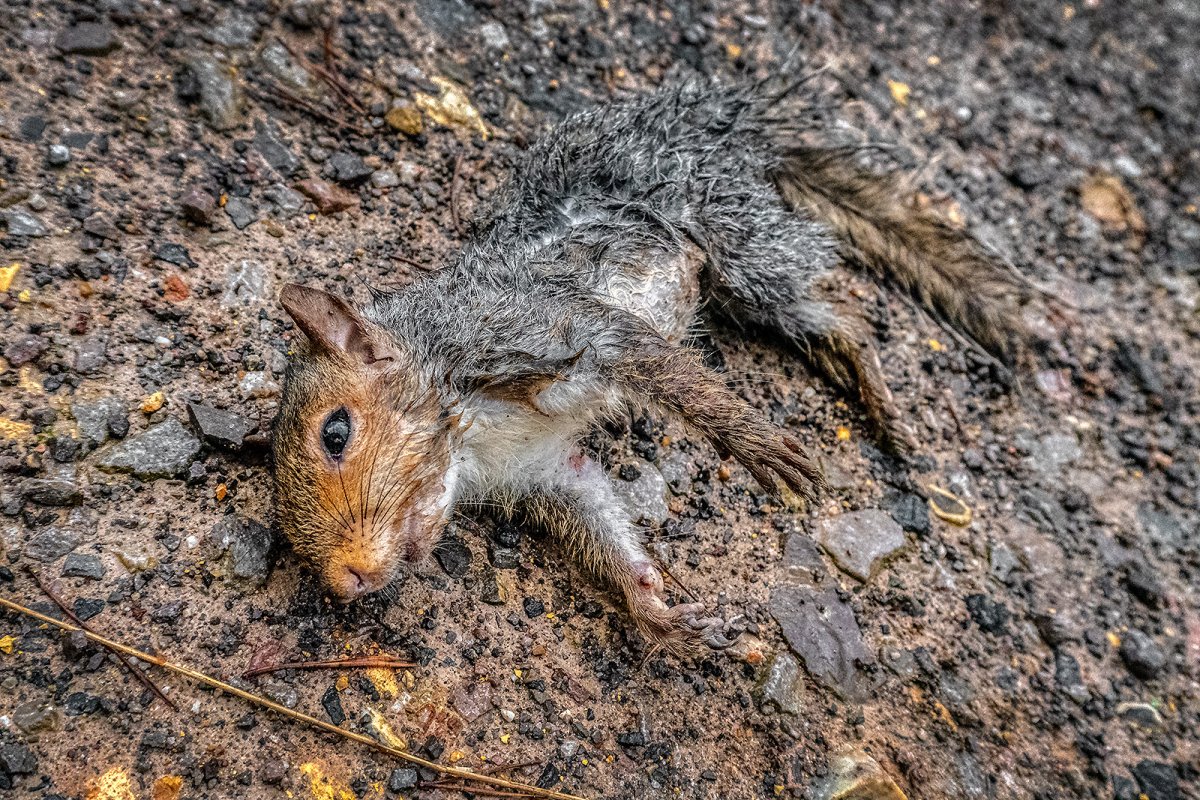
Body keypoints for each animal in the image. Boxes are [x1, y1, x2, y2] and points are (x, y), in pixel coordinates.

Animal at [271, 82, 1027, 652]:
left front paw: (758, 445)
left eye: (336, 432)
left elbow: (673, 376)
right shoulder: (545, 470)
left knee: (842, 317)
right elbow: (598, 518)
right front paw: (657, 609)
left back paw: (878, 395)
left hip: (738, 242)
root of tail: (707, 127)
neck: (471, 432)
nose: (344, 582)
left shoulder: (560, 331)